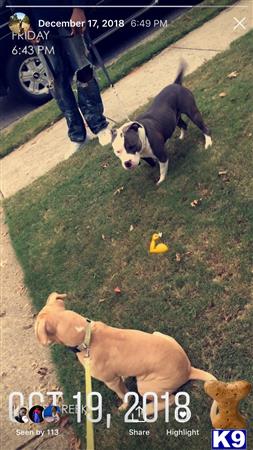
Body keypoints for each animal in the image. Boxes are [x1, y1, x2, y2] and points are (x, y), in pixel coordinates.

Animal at [35, 292, 217, 414]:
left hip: (146, 387)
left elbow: (123, 394)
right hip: (158, 334)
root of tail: (189, 369)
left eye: (37, 330)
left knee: (170, 400)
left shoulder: (111, 381)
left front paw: (124, 405)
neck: (86, 336)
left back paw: (146, 410)